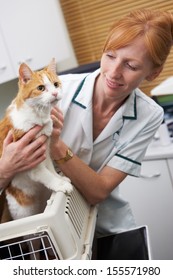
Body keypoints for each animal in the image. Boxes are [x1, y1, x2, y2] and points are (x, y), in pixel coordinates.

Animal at [0, 58, 72, 221]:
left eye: (56, 84)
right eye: (41, 88)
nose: (55, 93)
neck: (37, 116)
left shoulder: (45, 152)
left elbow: (51, 170)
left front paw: (61, 179)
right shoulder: (32, 163)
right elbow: (47, 176)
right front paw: (60, 185)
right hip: (24, 209)